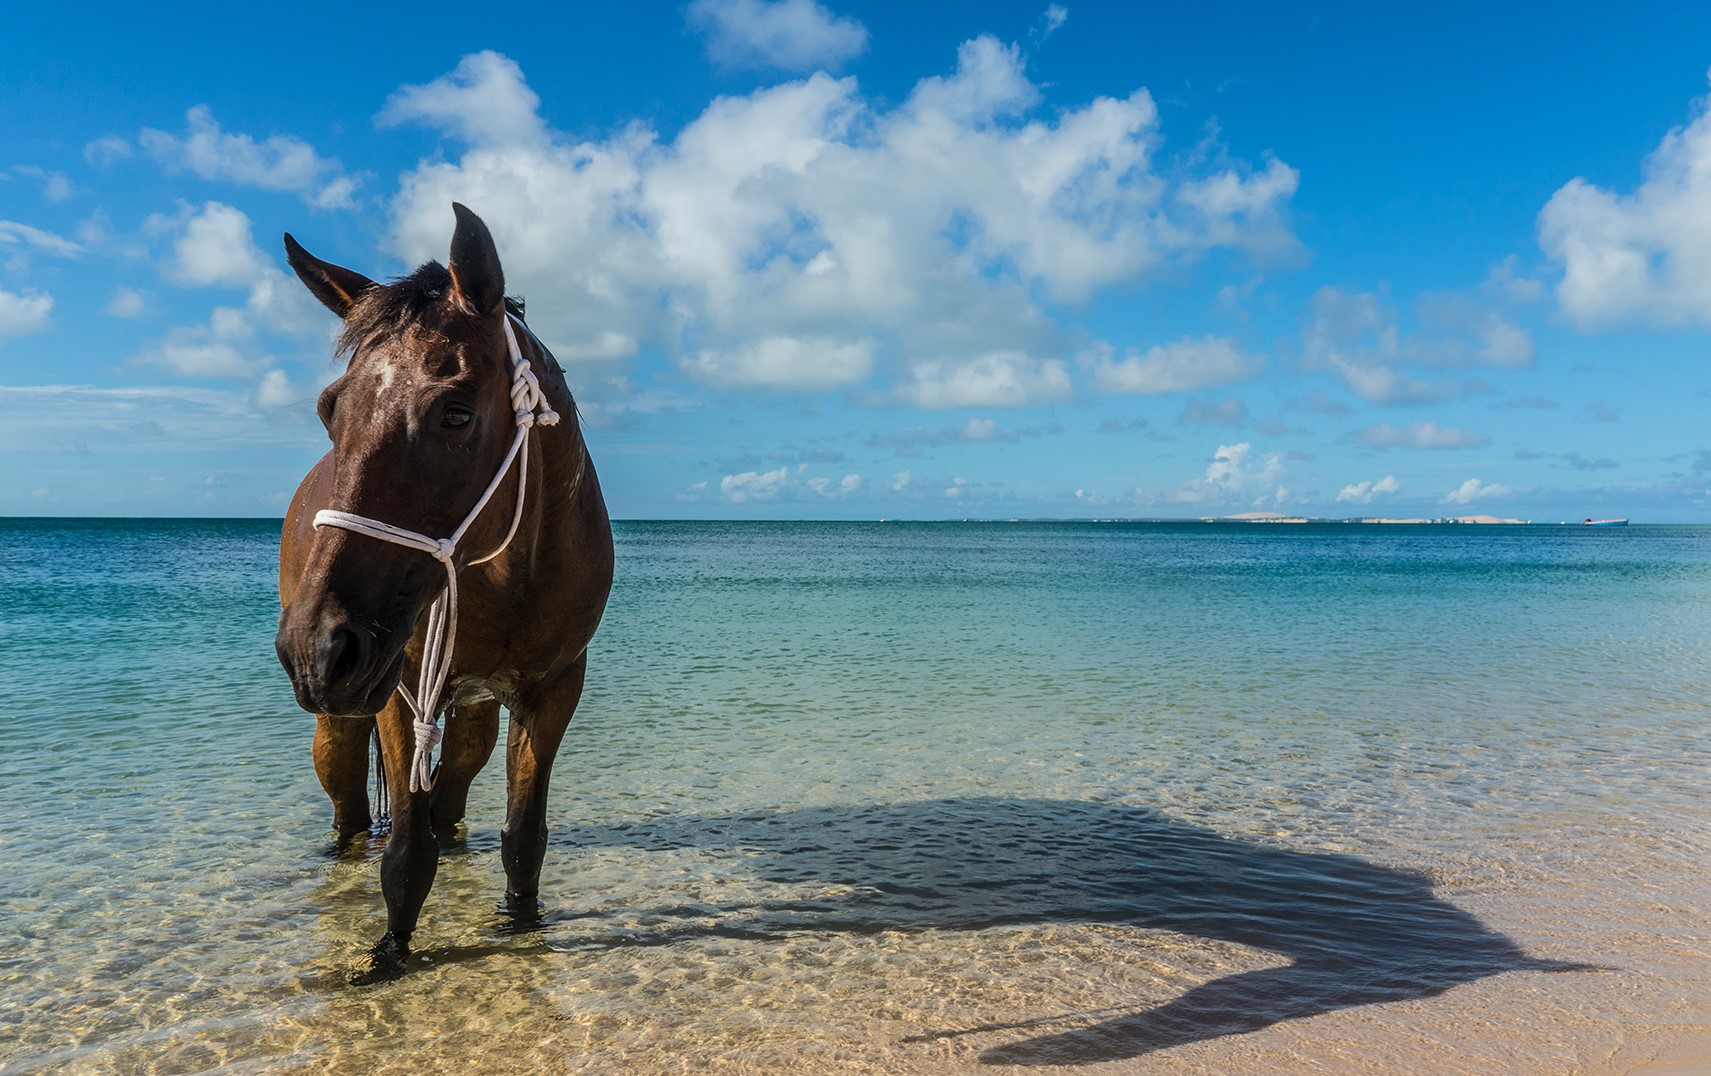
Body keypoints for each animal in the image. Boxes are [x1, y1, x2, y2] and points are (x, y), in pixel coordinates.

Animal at [274, 203, 613, 982]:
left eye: (455, 413)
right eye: (329, 410)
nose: (315, 647)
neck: (508, 575)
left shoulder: (554, 688)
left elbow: (523, 834)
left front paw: (521, 923)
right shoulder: (399, 688)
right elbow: (404, 850)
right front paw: (388, 951)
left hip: (470, 712)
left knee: (450, 803)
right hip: (343, 720)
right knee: (351, 817)